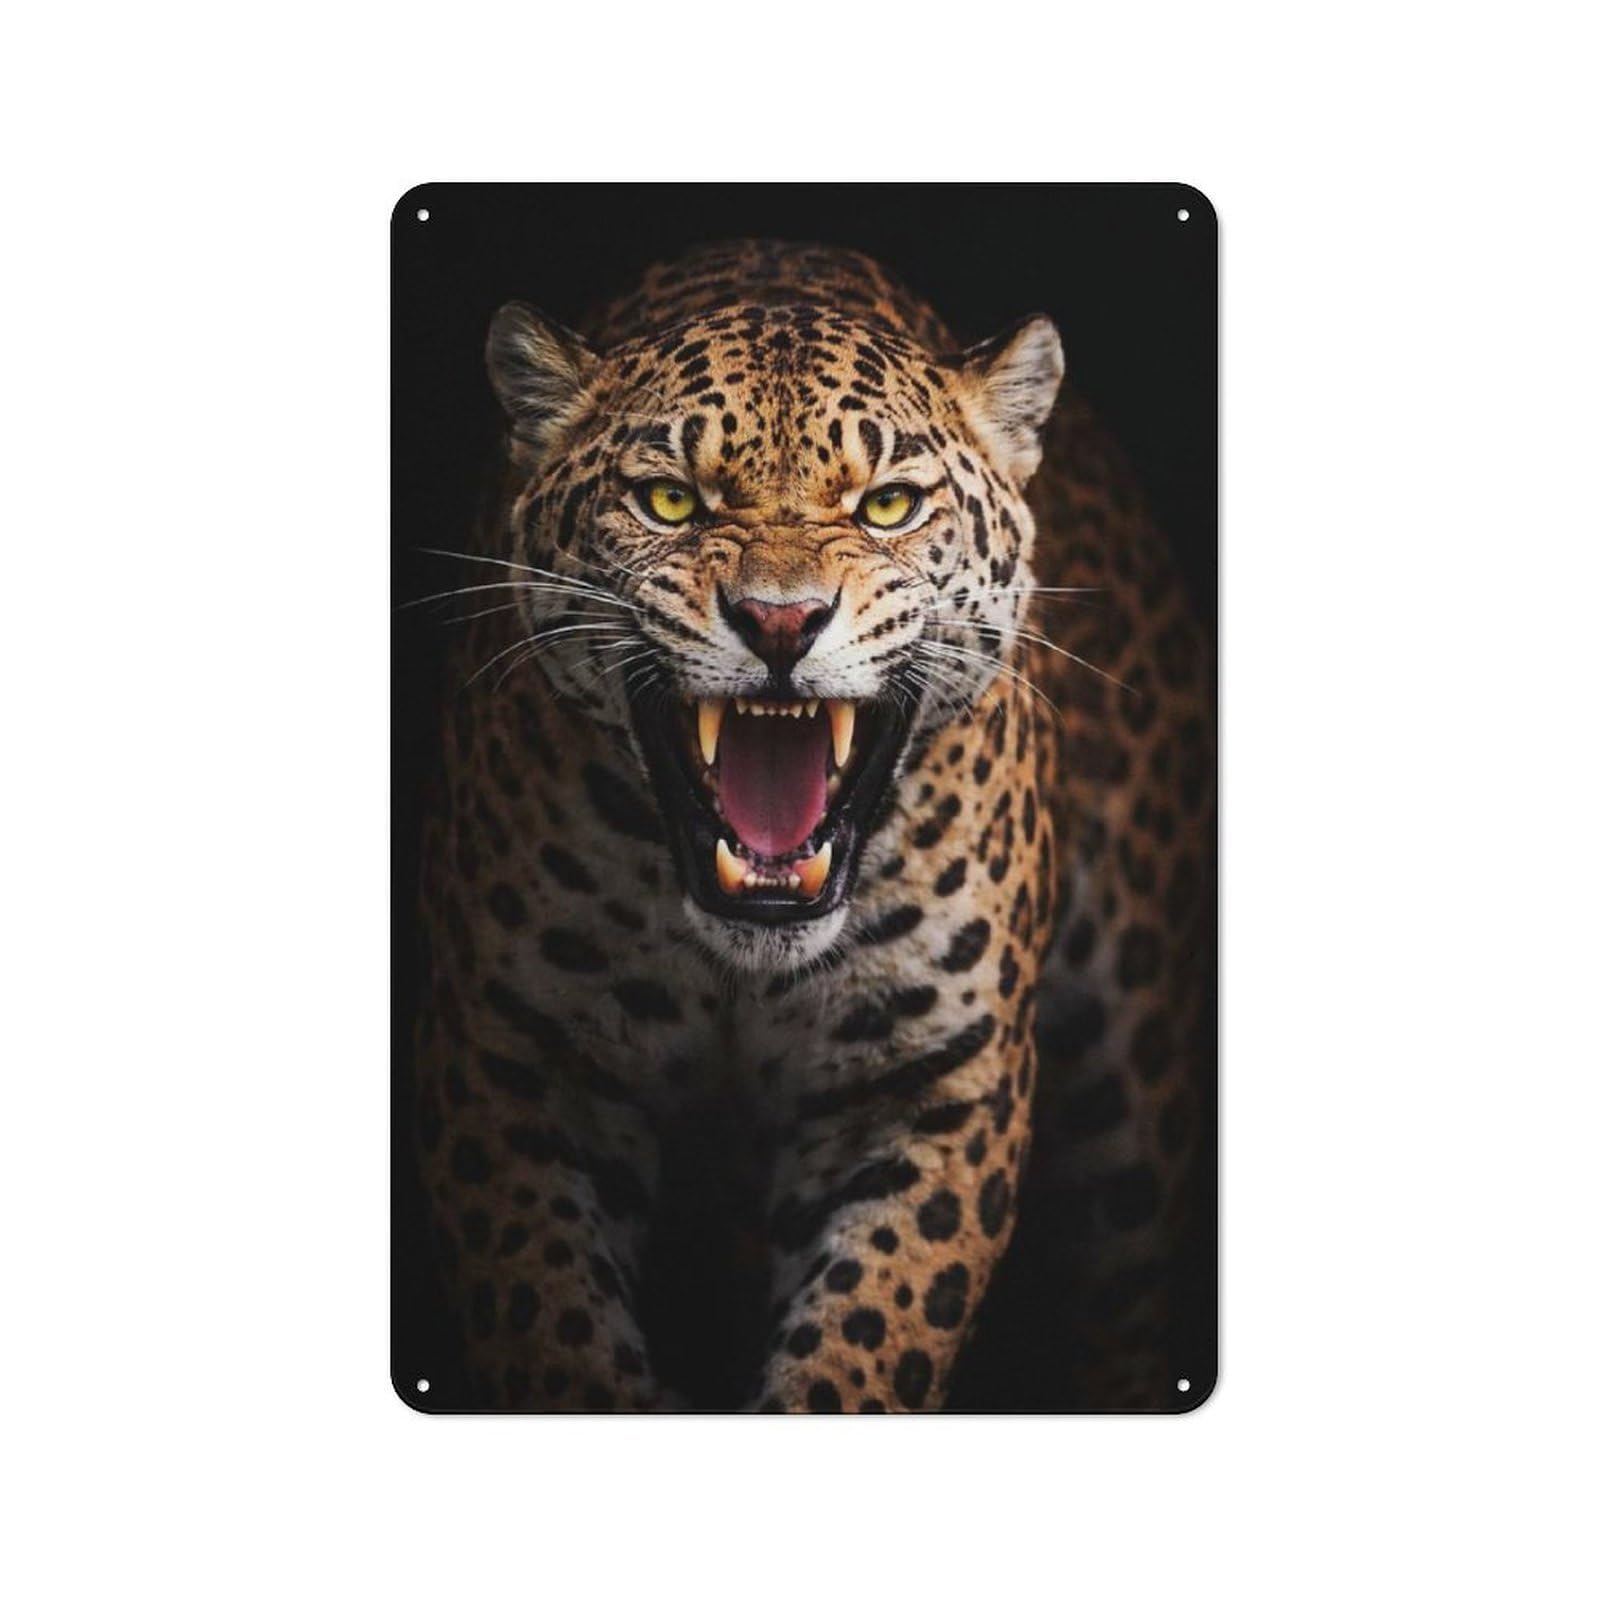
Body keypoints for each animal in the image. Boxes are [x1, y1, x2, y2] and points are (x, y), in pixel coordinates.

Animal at [407, 238, 1214, 1412]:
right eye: (668, 501)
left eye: (887, 505)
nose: (780, 622)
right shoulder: (511, 1063)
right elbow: (555, 1331)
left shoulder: (933, 1086)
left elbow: (864, 1346)